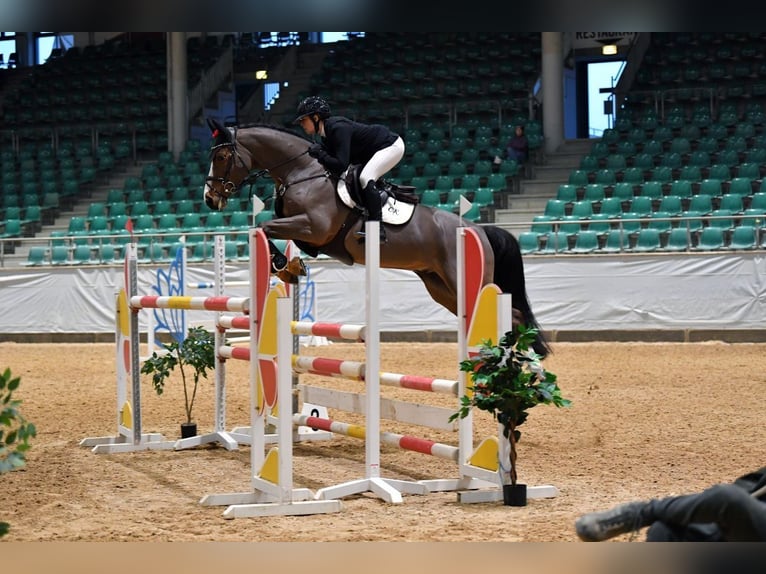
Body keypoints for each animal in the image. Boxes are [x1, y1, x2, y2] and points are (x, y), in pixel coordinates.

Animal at [202, 117, 552, 358]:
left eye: (221, 157)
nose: (209, 198)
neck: (302, 172)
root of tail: (478, 229)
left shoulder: (314, 226)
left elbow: (265, 226)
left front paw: (282, 264)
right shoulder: (310, 235)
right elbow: (270, 230)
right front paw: (290, 267)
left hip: (466, 281)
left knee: (513, 314)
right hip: (441, 287)